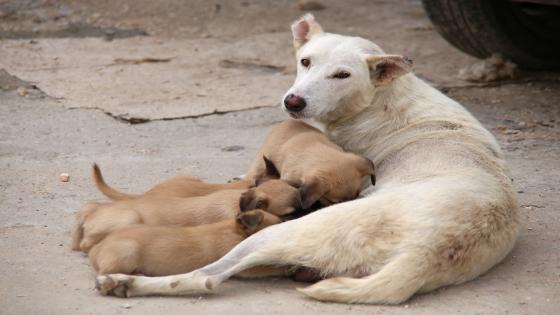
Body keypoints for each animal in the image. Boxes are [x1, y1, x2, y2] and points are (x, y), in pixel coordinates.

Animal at [89, 212, 282, 276]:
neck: (233, 232)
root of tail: (96, 249)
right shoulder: (245, 264)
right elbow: (269, 266)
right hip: (126, 252)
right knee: (104, 273)